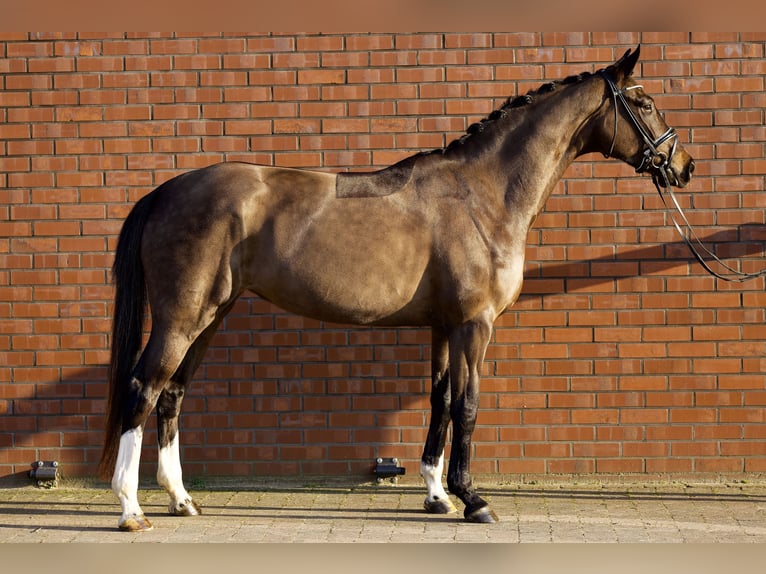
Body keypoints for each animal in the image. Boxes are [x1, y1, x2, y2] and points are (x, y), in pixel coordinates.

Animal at [97, 47, 696, 532]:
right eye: (644, 104)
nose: (684, 166)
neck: (482, 195)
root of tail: (165, 191)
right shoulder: (474, 325)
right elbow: (468, 405)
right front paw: (473, 499)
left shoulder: (442, 326)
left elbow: (440, 400)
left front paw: (436, 495)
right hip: (181, 317)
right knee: (142, 388)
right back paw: (130, 509)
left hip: (211, 316)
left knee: (172, 394)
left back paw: (181, 500)